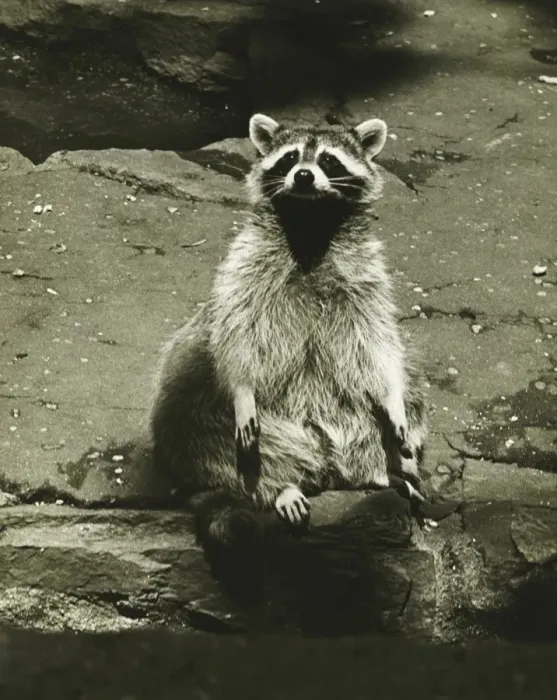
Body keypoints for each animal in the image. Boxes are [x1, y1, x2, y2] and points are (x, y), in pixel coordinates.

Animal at [150, 113, 430, 552]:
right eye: (290, 157)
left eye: (329, 160)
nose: (303, 176)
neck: (310, 222)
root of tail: (324, 465)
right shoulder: (244, 269)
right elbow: (237, 335)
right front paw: (243, 390)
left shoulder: (366, 279)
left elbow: (377, 346)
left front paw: (392, 397)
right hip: (200, 406)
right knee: (202, 426)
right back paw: (278, 487)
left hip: (355, 419)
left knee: (405, 400)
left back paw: (387, 474)